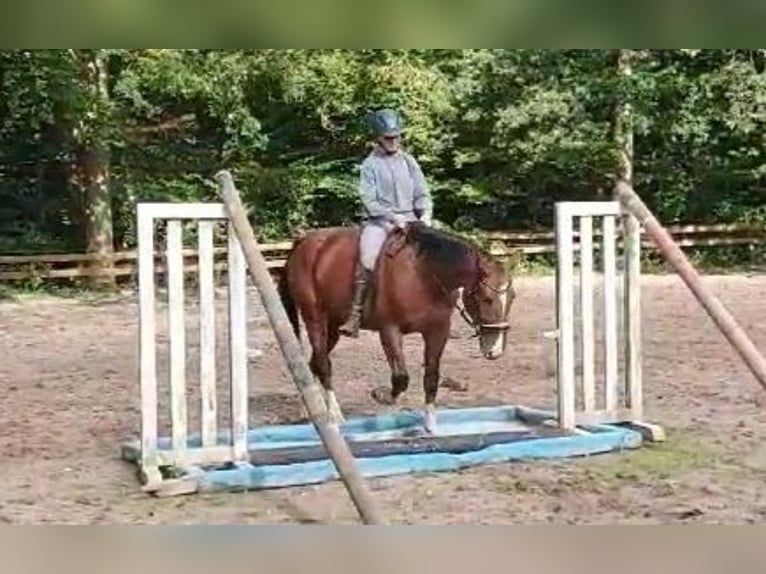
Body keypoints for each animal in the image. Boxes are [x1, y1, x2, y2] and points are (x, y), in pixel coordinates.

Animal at [276, 223, 516, 434]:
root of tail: (305, 241)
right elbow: (401, 377)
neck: (423, 273)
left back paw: (311, 410)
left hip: (333, 327)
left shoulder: (437, 332)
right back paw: (333, 415)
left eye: (512, 297)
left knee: (313, 363)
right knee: (323, 364)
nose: (495, 351)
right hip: (315, 317)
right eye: (486, 299)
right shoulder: (390, 330)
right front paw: (381, 395)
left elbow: (431, 377)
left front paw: (430, 425)